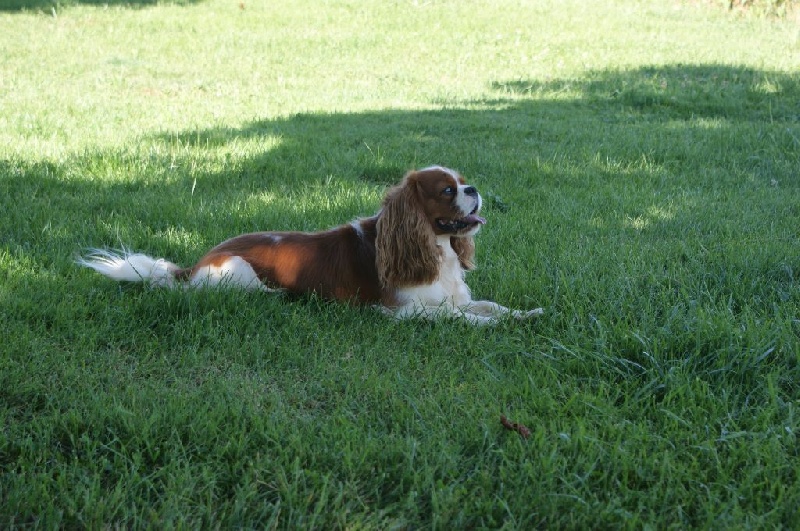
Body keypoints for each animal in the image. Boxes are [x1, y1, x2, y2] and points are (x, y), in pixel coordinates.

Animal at [78, 166, 543, 325]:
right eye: (447, 191)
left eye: (463, 182)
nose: (474, 189)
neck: (435, 247)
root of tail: (193, 265)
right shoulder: (401, 312)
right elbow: (460, 318)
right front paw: (491, 326)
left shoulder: (454, 296)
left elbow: (489, 305)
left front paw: (525, 314)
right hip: (239, 273)